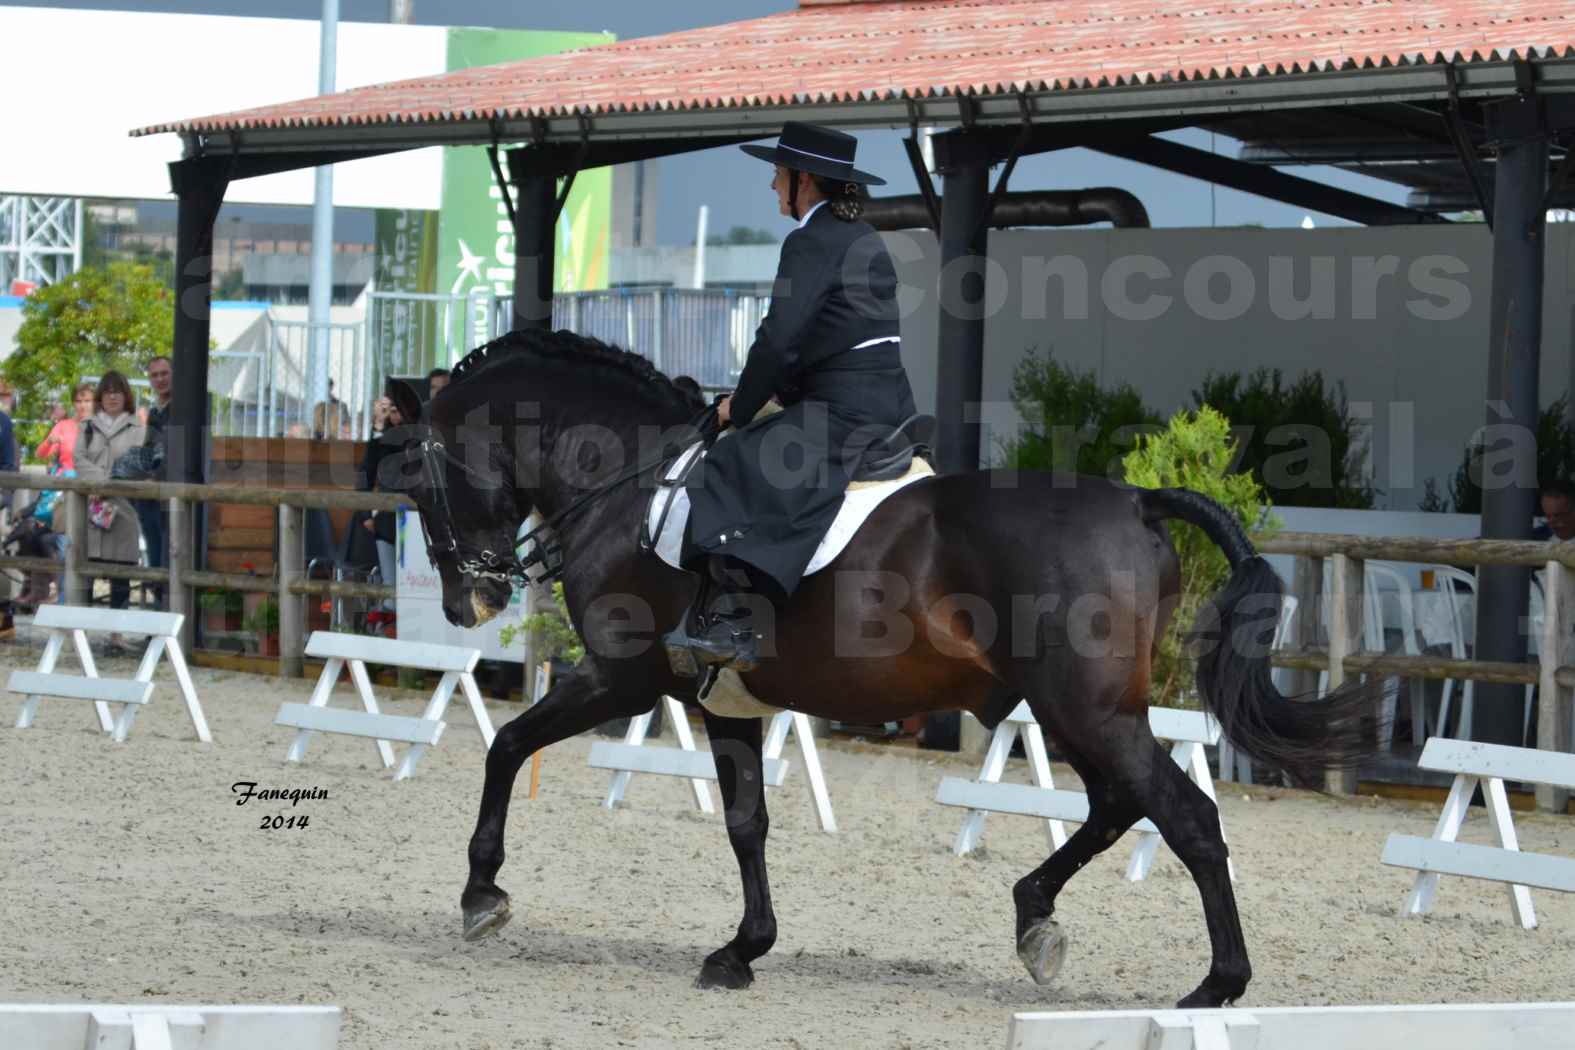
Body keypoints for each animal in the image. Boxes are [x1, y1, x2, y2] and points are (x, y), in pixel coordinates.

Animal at [387, 329, 1386, 1007]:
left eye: (419, 483)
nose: (467, 603)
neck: (633, 484)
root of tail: (1136, 500)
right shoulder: (726, 700)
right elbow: (745, 824)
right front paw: (741, 949)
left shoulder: (624, 678)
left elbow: (506, 746)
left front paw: (481, 894)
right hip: (1076, 711)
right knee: (1117, 807)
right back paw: (1035, 919)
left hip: (1087, 710)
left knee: (1184, 818)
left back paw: (1215, 985)